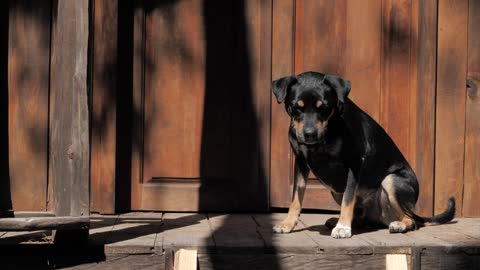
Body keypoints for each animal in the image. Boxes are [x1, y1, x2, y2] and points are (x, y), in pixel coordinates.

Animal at [272, 71, 456, 238]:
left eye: (323, 108)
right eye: (296, 107)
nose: (309, 134)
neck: (330, 128)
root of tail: (377, 217)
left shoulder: (353, 164)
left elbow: (348, 199)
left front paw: (343, 228)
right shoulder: (301, 162)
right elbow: (296, 197)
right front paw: (287, 223)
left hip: (391, 181)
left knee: (412, 220)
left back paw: (398, 225)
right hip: (336, 191)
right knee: (361, 217)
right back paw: (339, 220)